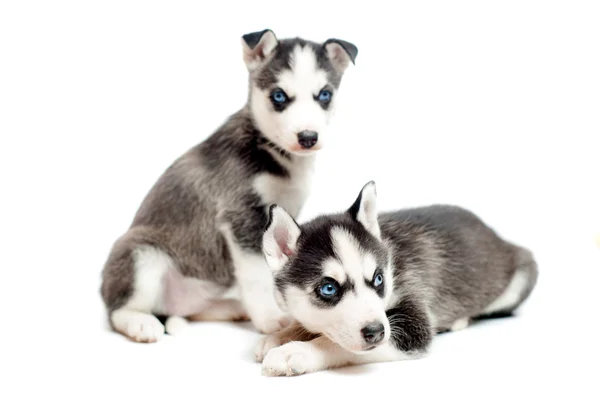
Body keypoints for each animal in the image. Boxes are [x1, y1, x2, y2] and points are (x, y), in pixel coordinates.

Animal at [101, 28, 358, 344]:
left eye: (324, 95)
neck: (273, 152)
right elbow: (258, 276)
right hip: (141, 255)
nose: (308, 137)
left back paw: (231, 308)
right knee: (119, 310)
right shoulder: (242, 217)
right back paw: (140, 323)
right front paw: (271, 318)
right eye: (278, 96)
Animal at [258, 183, 540, 376]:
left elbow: (335, 344)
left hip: (522, 276)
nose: (376, 332)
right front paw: (279, 336)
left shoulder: (413, 323)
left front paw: (297, 350)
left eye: (379, 279)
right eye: (328, 288)